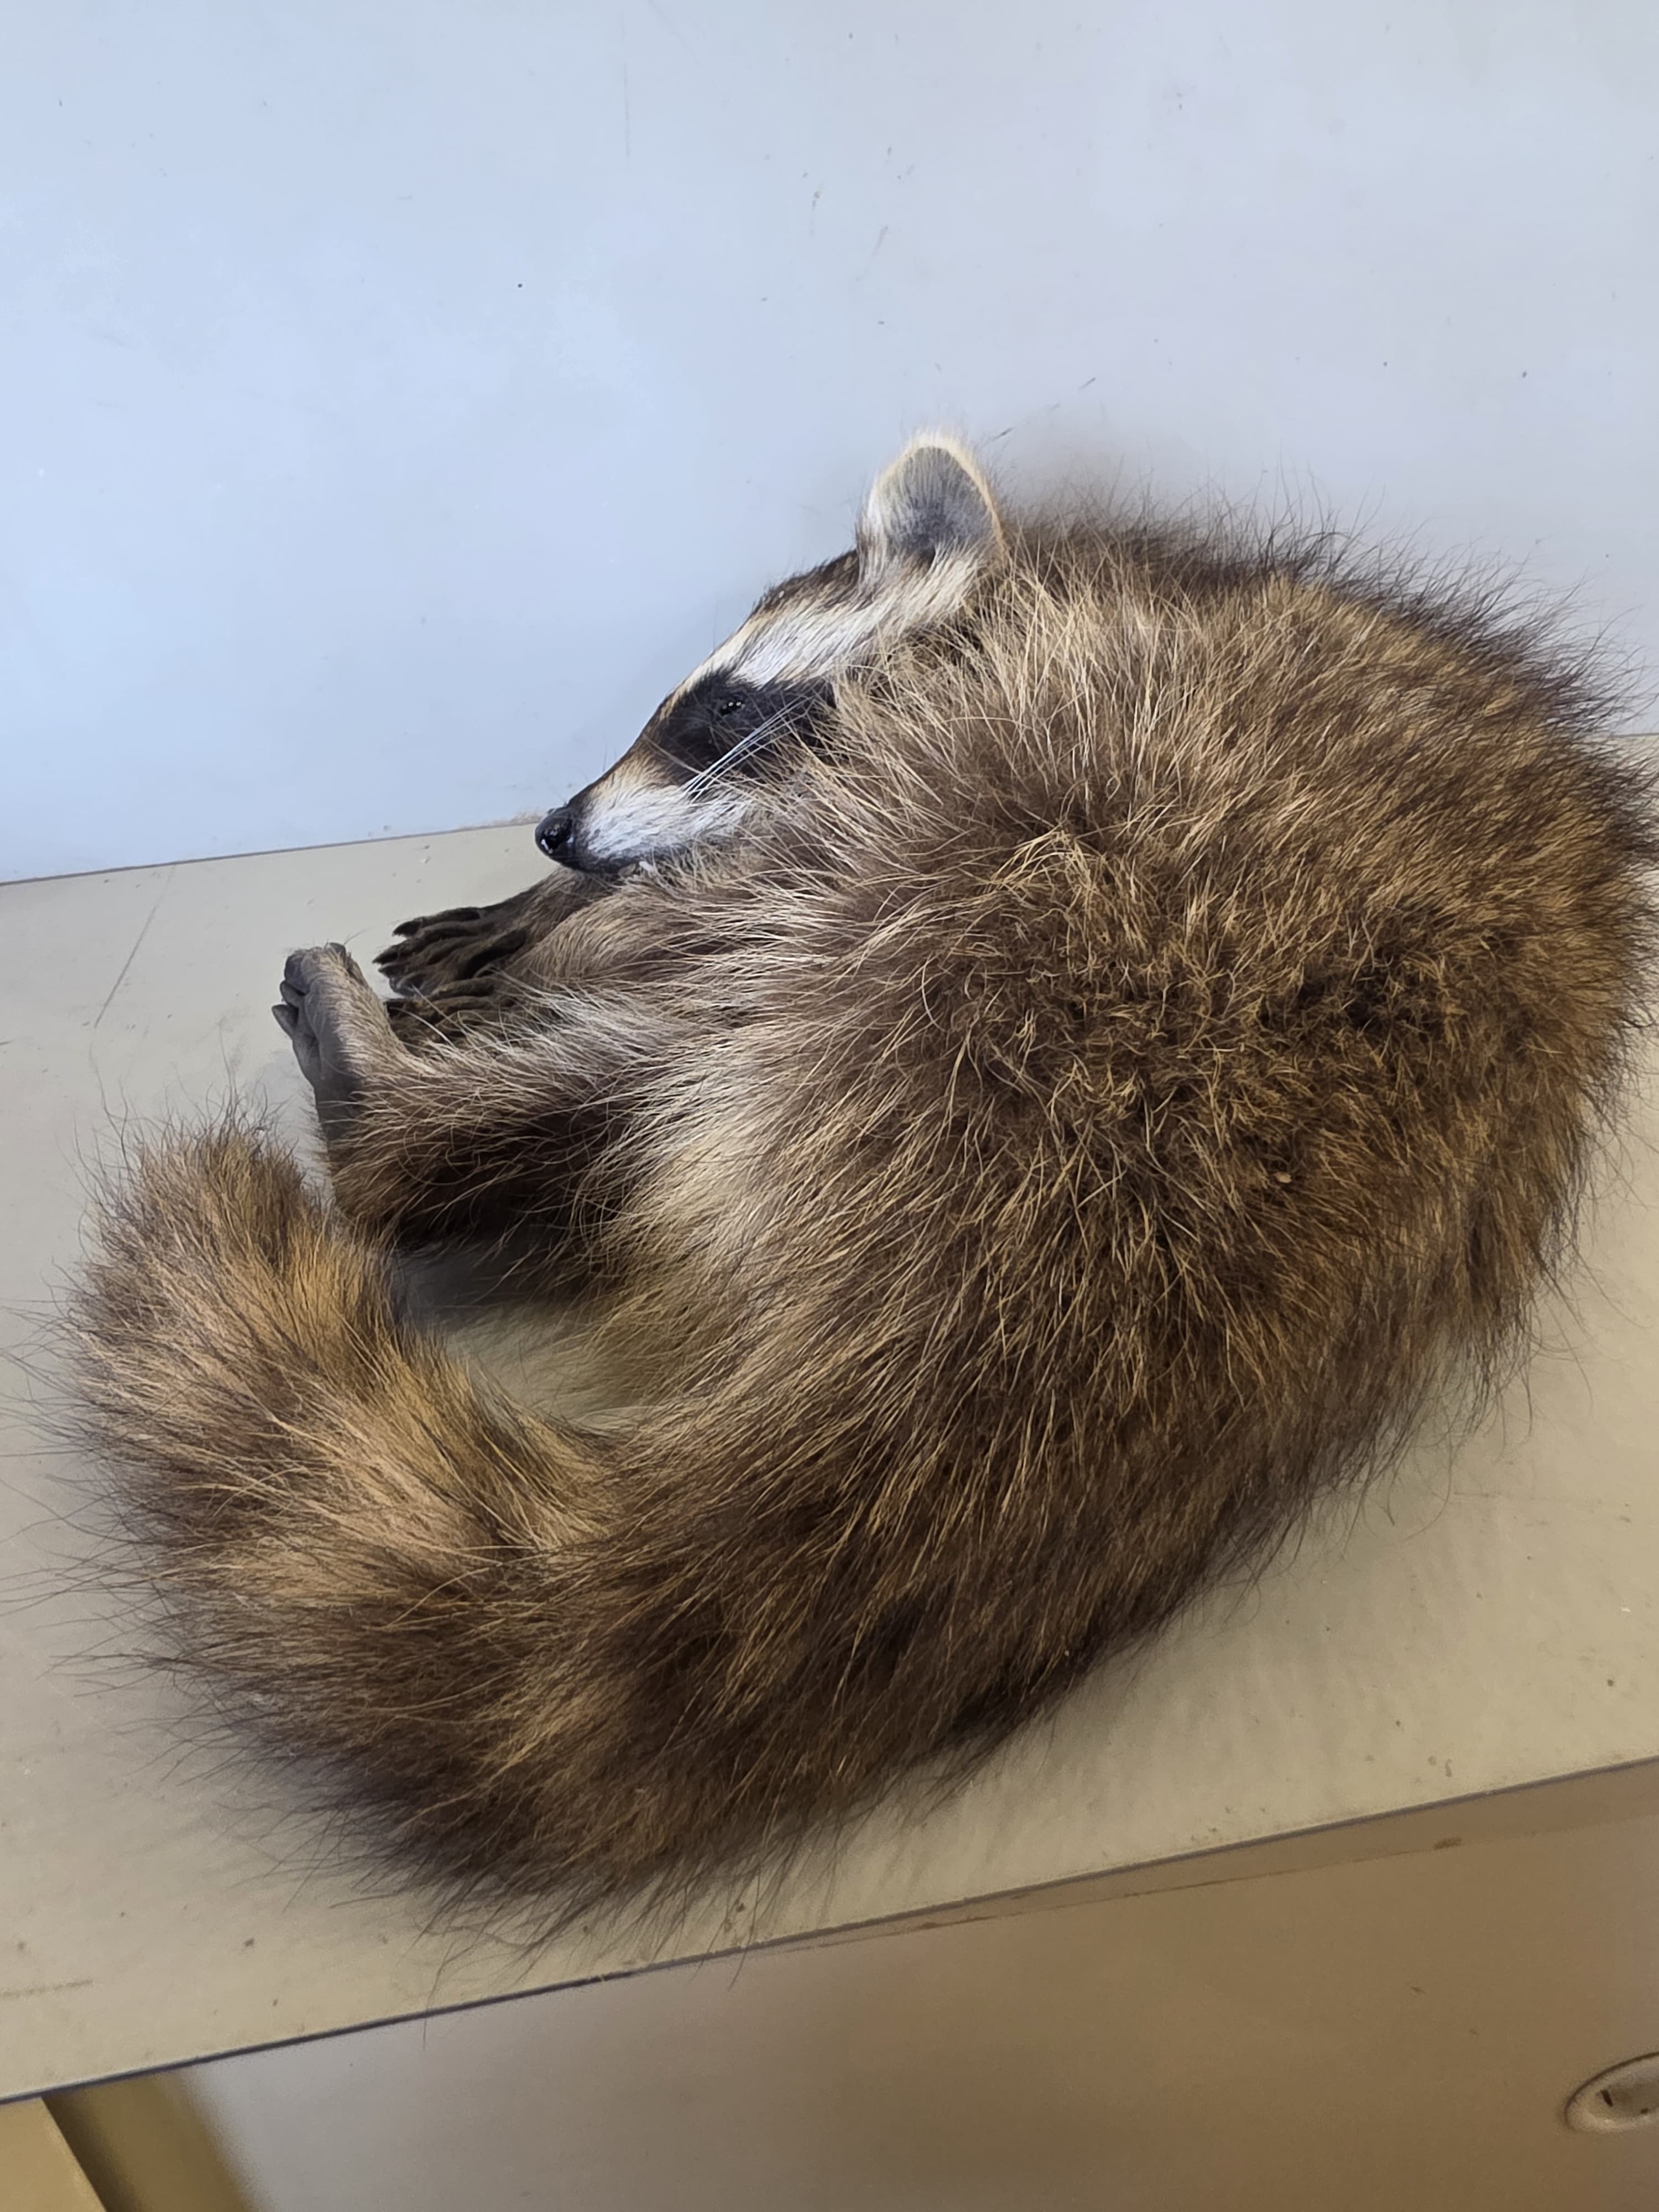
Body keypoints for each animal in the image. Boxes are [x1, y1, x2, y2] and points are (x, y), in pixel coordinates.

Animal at [71, 437, 1656, 1921]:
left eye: (713, 712)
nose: (555, 828)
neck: (1064, 577)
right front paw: (548, 901)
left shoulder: (1007, 715)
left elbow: (703, 900)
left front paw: (569, 923)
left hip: (1053, 906)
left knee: (686, 1022)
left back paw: (415, 1105)